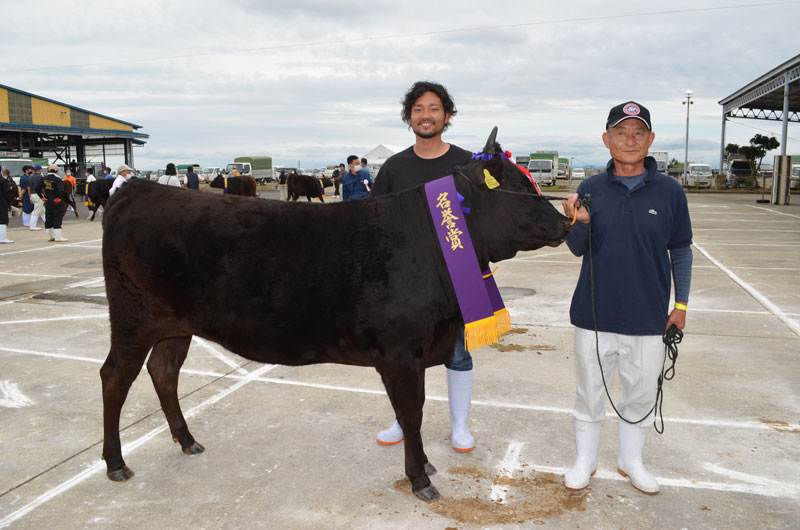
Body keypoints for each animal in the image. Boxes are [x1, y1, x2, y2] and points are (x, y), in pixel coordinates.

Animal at [100, 127, 572, 500]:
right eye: (521, 188)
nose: (565, 223)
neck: (432, 239)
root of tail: (137, 190)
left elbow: (412, 411)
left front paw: (423, 467)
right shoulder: (401, 352)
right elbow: (412, 412)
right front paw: (420, 478)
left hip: (175, 326)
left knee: (164, 372)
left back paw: (187, 440)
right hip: (133, 319)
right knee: (115, 379)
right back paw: (115, 463)